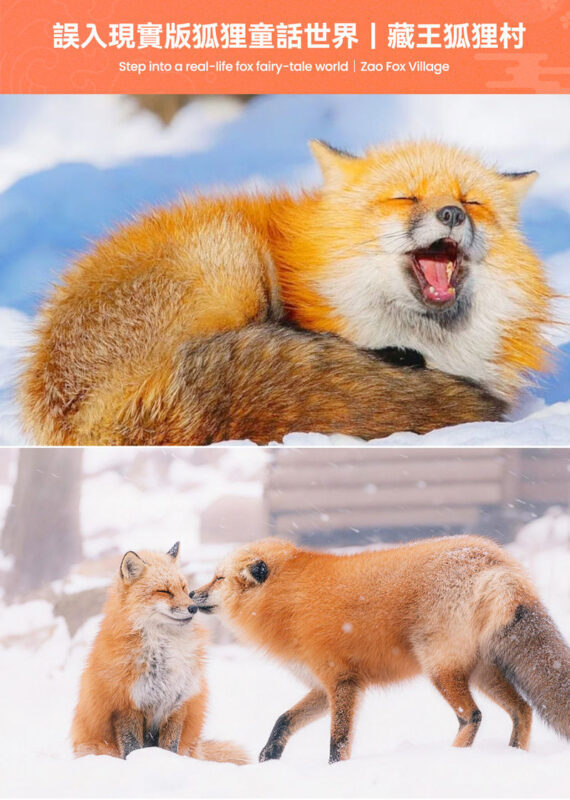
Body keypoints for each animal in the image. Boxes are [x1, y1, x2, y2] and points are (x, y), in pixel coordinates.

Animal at [71, 542, 249, 764]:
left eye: (184, 588)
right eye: (164, 591)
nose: (193, 608)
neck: (163, 648)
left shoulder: (178, 703)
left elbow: (170, 746)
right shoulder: (126, 706)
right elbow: (131, 747)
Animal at [190, 535, 570, 764]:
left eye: (218, 578)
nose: (192, 594)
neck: (290, 602)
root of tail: (496, 560)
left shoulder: (342, 682)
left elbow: (339, 741)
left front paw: (335, 772)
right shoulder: (324, 685)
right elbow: (284, 719)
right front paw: (269, 757)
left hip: (440, 668)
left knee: (473, 716)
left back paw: (453, 760)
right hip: (481, 672)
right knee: (522, 710)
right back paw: (514, 756)